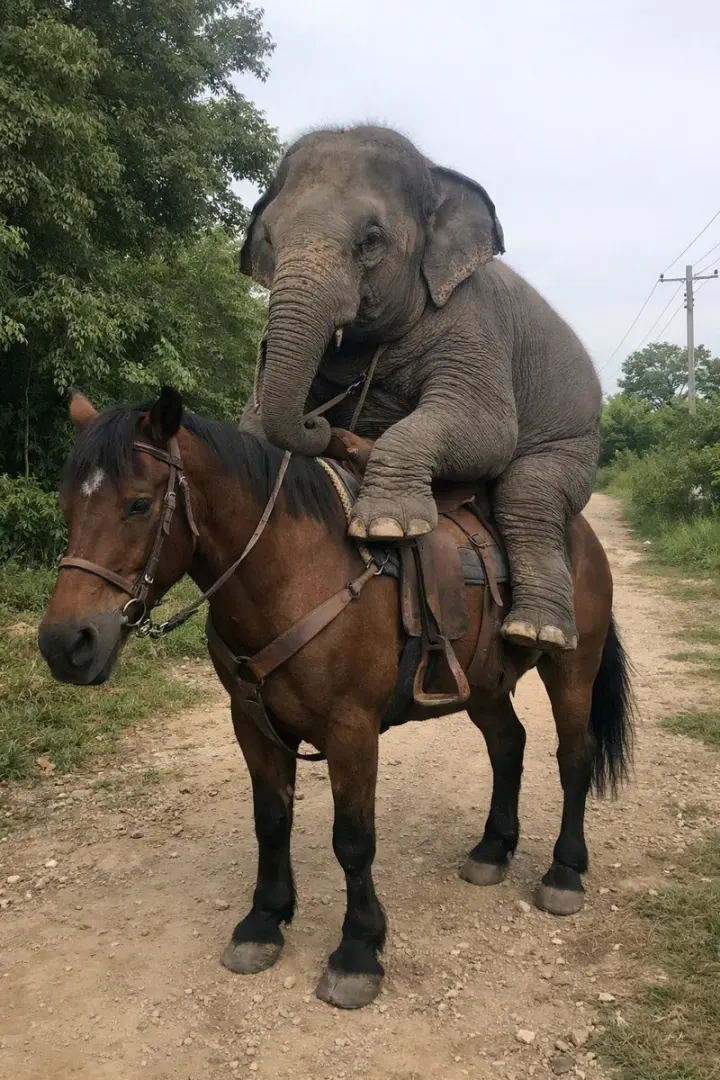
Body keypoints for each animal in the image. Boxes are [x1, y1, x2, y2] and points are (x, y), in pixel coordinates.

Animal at [39, 386, 634, 1010]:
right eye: (66, 506)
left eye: (138, 505)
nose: (65, 644)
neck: (296, 573)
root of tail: (581, 535)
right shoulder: (252, 724)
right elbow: (271, 822)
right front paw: (263, 922)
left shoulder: (352, 729)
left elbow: (352, 840)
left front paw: (358, 950)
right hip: (485, 685)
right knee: (509, 746)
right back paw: (492, 850)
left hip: (572, 669)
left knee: (574, 759)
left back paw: (564, 873)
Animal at [238, 125, 602, 653]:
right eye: (268, 237)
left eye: (370, 241)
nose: (320, 422)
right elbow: (250, 425)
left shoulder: (474, 324)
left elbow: (489, 432)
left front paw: (387, 525)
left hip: (576, 442)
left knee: (528, 496)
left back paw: (538, 631)